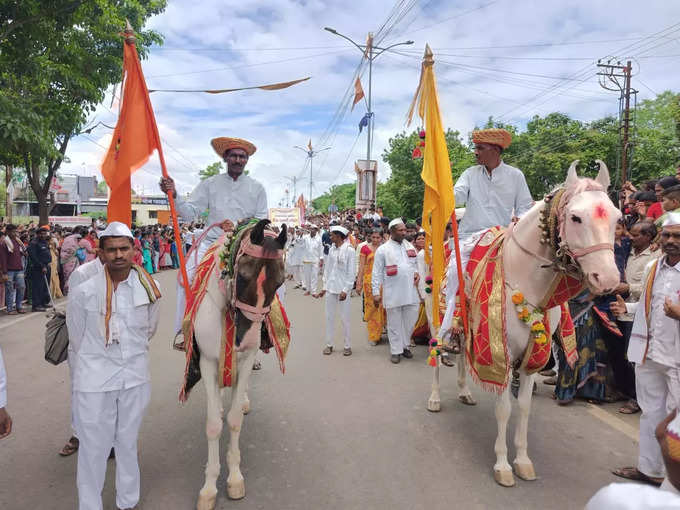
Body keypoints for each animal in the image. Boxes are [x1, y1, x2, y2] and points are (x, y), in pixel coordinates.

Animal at [187, 221, 288, 510]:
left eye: (280, 282)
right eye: (242, 276)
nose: (248, 339)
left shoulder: (245, 360)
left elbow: (233, 422)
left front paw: (233, 478)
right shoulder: (207, 361)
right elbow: (213, 424)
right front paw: (209, 488)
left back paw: (240, 401)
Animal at [430, 160, 620, 486]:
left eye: (617, 217)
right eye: (575, 217)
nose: (607, 279)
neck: (527, 282)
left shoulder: (534, 356)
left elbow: (524, 407)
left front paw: (522, 461)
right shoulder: (500, 355)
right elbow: (504, 409)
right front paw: (503, 465)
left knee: (462, 357)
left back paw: (465, 392)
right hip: (437, 317)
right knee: (434, 356)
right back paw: (434, 398)